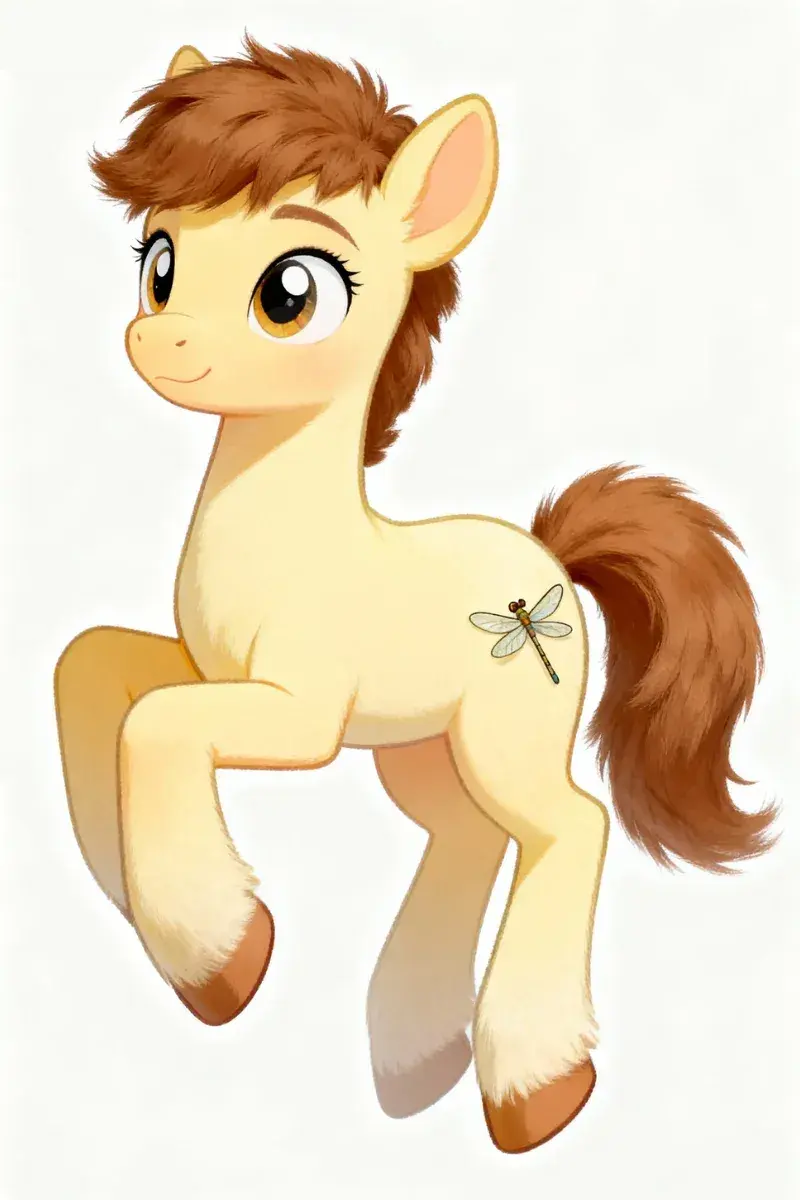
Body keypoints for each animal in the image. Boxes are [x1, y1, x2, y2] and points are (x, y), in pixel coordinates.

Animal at [54, 36, 776, 1154]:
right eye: (157, 262)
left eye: (291, 293)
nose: (158, 342)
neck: (293, 538)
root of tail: (549, 557)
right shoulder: (206, 666)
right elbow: (88, 663)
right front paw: (133, 890)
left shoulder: (298, 713)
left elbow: (157, 721)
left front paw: (218, 954)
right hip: (419, 752)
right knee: (469, 833)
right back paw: (417, 1049)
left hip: (504, 736)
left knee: (568, 825)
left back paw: (531, 1083)